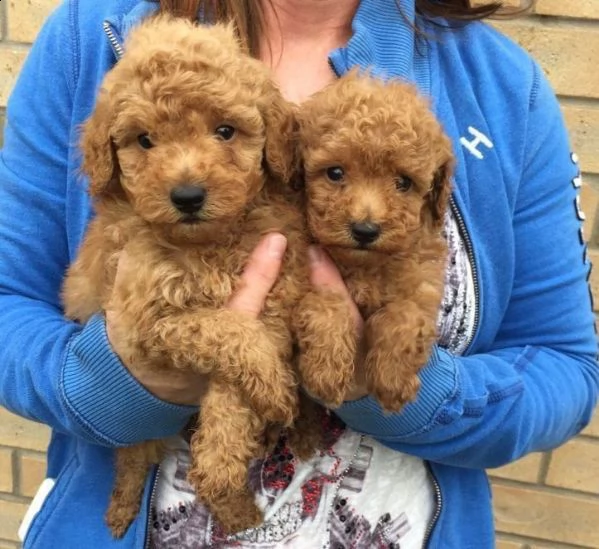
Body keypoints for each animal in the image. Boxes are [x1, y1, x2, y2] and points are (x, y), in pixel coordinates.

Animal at [62, 15, 312, 536]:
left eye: (225, 130)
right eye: (144, 140)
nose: (188, 196)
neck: (207, 246)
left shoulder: (275, 295)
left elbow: (231, 396)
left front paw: (224, 485)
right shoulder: (144, 324)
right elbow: (225, 330)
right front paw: (275, 390)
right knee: (132, 455)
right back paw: (121, 510)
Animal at [292, 69, 452, 412]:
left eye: (403, 182)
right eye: (335, 173)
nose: (365, 230)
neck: (364, 266)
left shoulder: (422, 283)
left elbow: (404, 316)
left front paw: (392, 381)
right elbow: (326, 306)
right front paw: (326, 373)